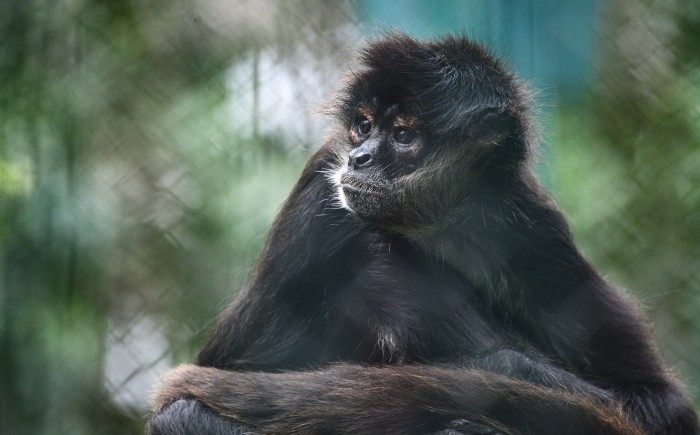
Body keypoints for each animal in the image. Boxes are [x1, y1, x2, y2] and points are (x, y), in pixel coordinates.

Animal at [148, 34, 699, 434]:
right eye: (362, 126)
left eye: (404, 135)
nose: (359, 158)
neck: (432, 223)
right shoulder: (323, 191)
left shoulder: (527, 223)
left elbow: (657, 403)